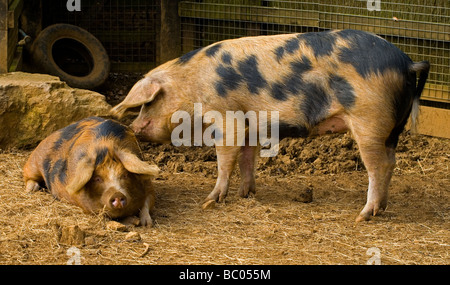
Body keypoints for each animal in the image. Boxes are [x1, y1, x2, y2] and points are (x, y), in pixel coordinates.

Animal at [23, 116, 160, 225]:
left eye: (125, 175)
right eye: (97, 178)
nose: (117, 195)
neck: (106, 144)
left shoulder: (148, 185)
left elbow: (148, 202)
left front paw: (146, 224)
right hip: (34, 160)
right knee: (27, 174)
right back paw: (31, 189)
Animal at [110, 29, 430, 220]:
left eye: (149, 102)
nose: (135, 127)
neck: (193, 85)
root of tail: (407, 61)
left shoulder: (227, 118)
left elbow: (225, 159)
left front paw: (210, 200)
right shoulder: (251, 125)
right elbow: (247, 159)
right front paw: (245, 194)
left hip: (369, 120)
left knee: (379, 166)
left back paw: (363, 215)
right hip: (393, 128)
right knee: (392, 161)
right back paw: (381, 208)